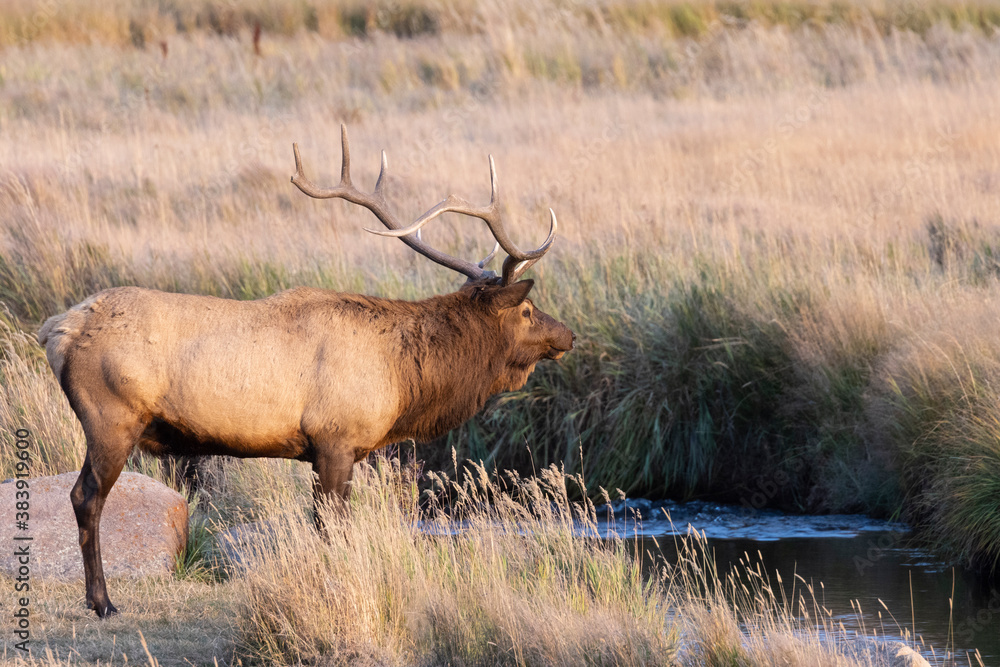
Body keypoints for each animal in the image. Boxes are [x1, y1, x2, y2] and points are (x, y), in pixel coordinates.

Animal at [37, 126, 575, 618]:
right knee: (85, 497)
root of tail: (55, 330)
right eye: (528, 311)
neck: (404, 381)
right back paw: (103, 602)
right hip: (110, 418)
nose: (568, 335)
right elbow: (331, 528)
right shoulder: (335, 439)